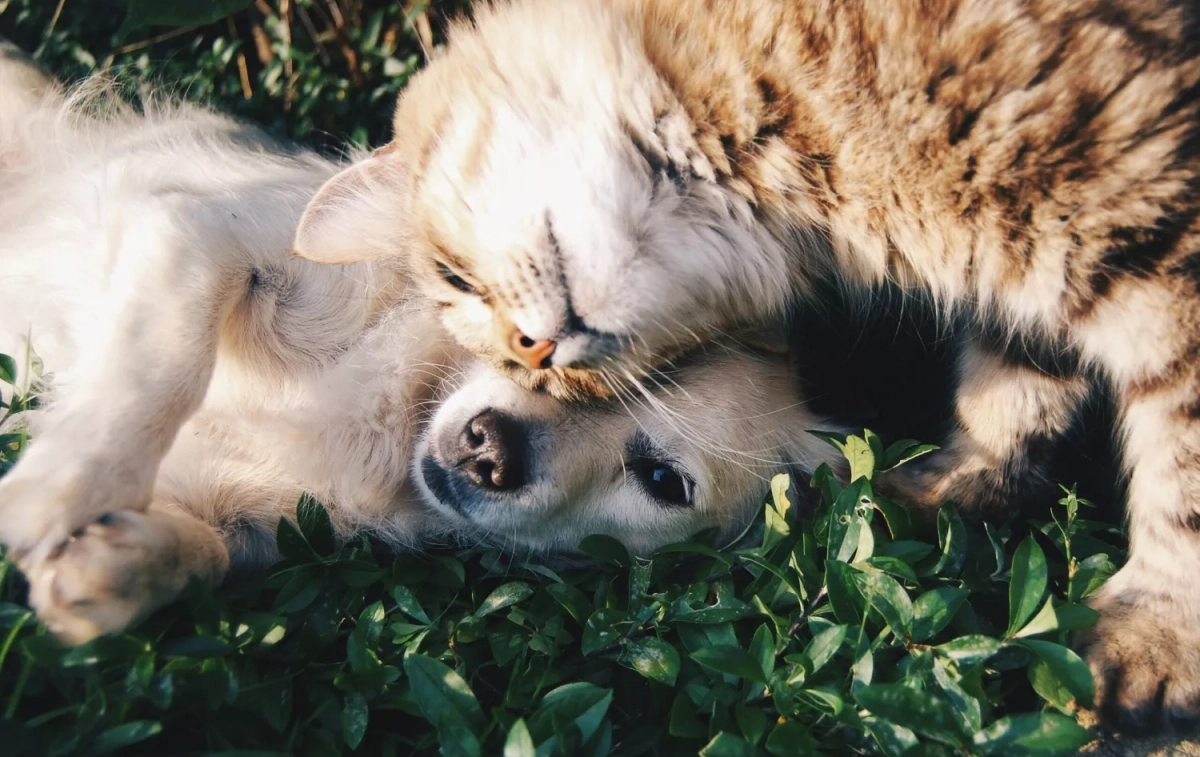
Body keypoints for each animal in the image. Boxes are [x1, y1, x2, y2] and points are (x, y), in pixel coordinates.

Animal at [0, 56, 840, 643]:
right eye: (540, 343)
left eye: (663, 480)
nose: (489, 449)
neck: (400, 413)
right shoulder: (197, 233)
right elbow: (162, 365)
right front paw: (59, 488)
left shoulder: (252, 520)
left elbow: (207, 553)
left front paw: (114, 568)